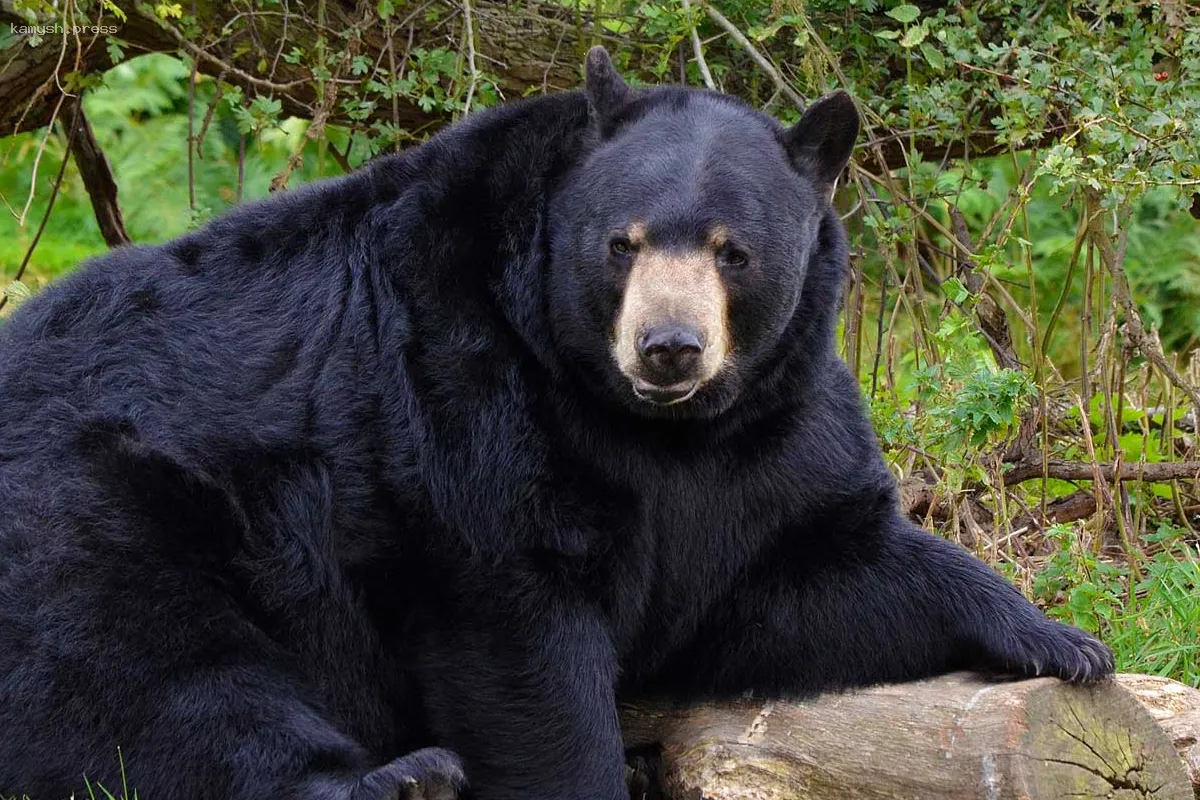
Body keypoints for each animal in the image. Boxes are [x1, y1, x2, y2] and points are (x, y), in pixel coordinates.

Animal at [0, 48, 1108, 800]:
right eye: (621, 243)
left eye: (733, 250)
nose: (669, 347)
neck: (653, 427)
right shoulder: (461, 396)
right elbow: (520, 640)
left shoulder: (763, 441)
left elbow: (801, 575)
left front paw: (1060, 640)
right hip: (95, 505)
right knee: (141, 669)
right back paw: (392, 777)